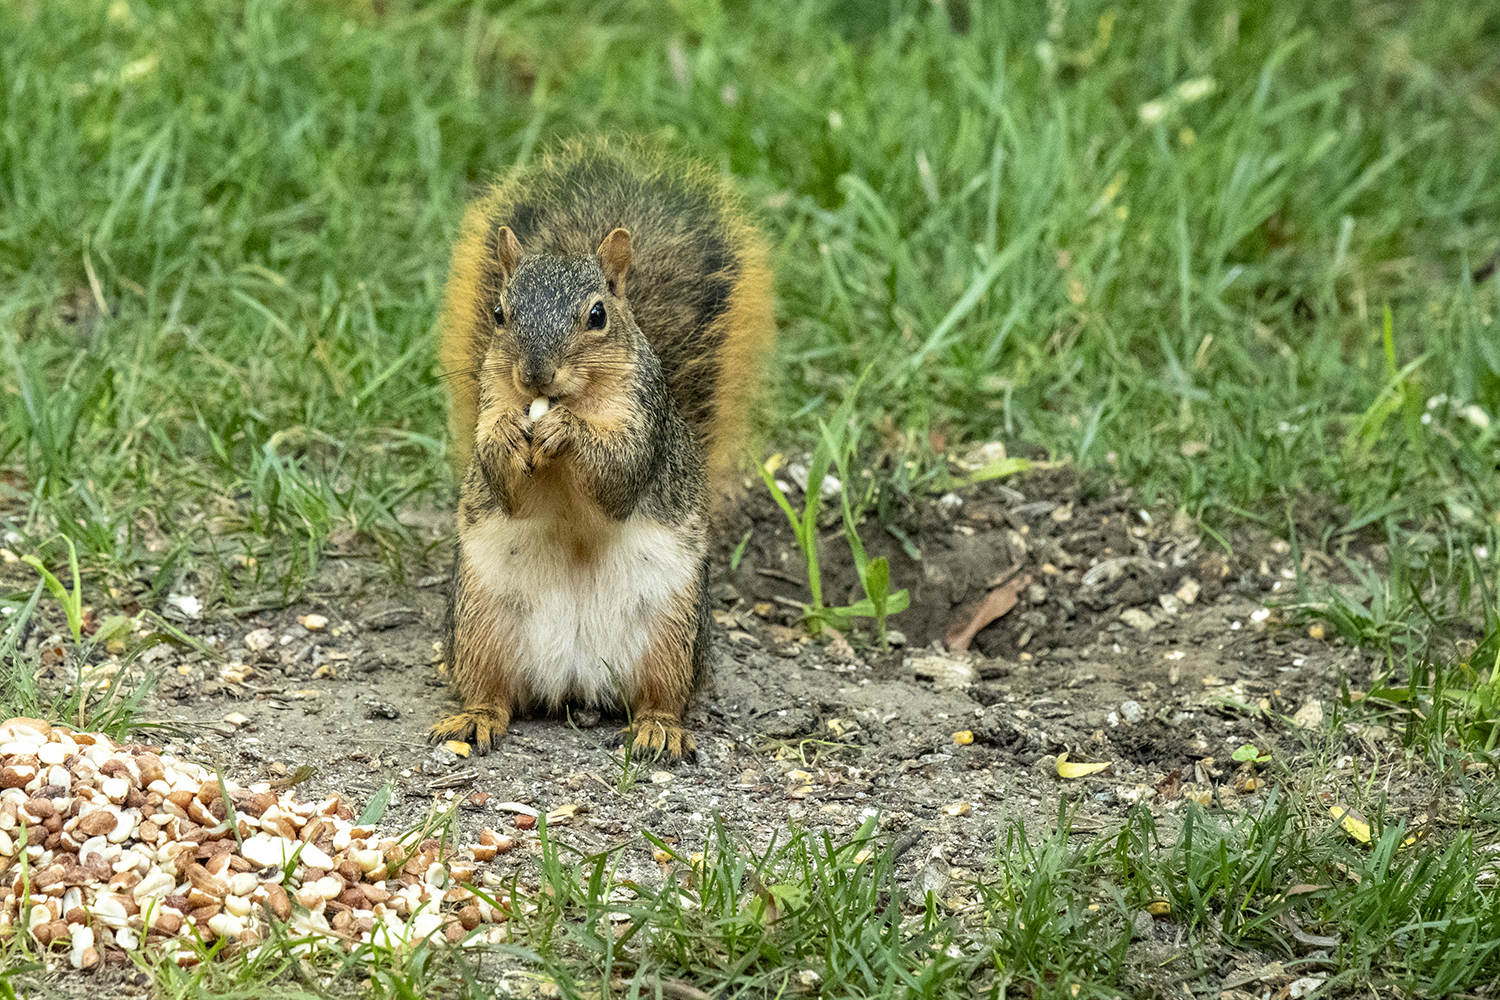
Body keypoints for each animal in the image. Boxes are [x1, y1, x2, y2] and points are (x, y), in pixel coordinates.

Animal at [431, 139, 774, 761]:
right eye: (499, 313)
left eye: (597, 315)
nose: (535, 375)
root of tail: (576, 681)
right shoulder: (494, 404)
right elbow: (502, 480)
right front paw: (509, 437)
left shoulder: (646, 422)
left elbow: (620, 474)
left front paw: (566, 429)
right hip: (479, 624)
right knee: (494, 692)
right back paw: (476, 717)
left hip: (671, 633)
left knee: (660, 695)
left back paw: (660, 728)